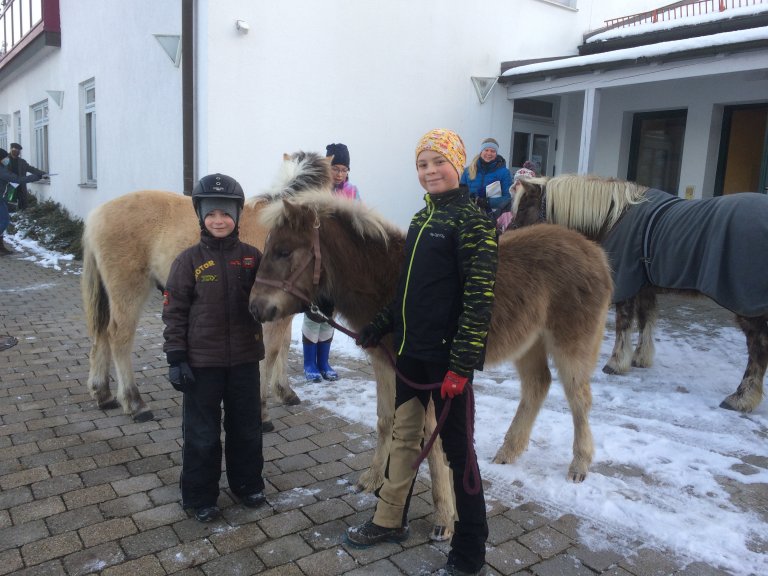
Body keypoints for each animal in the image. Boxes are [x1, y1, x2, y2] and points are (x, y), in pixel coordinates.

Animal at [82, 152, 332, 424]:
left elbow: (284, 346)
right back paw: (134, 403)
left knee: (101, 333)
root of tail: (97, 215)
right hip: (129, 291)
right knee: (119, 336)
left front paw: (285, 392)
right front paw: (262, 411)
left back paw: (103, 394)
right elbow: (271, 351)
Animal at [250, 192, 612, 540]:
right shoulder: (385, 366)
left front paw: (444, 518)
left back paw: (579, 464)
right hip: (529, 344)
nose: (255, 308)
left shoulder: (424, 377)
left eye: (283, 251)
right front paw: (373, 479)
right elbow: (386, 422)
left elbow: (433, 443)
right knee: (538, 385)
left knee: (579, 399)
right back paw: (509, 450)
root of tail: (595, 251)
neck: (390, 280)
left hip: (570, 345)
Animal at [510, 173, 768, 412]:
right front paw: (640, 358)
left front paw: (616, 363)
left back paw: (741, 397)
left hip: (748, 307)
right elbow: (646, 320)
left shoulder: (626, 286)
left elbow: (624, 324)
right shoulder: (643, 286)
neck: (615, 216)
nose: (509, 233)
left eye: (523, 207)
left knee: (758, 348)